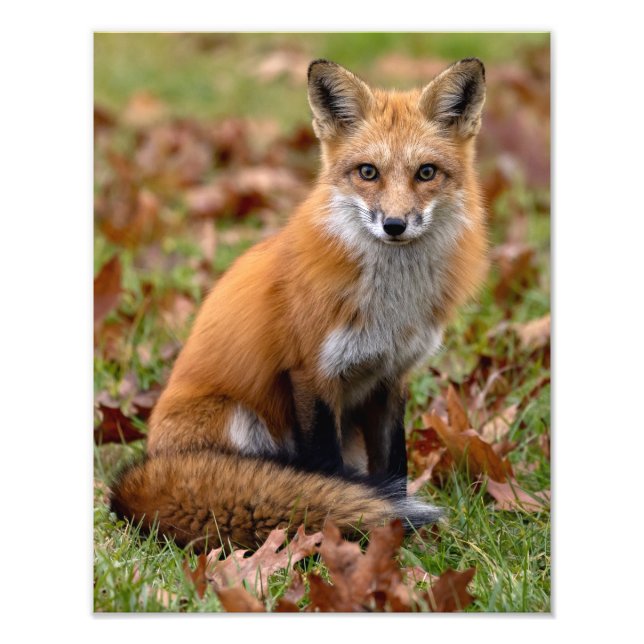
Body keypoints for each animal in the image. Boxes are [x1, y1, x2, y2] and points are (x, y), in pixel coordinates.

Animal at [110, 57, 488, 550]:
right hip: (239, 419)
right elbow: (326, 471)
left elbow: (395, 469)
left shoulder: (391, 377)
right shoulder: (311, 373)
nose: (394, 224)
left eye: (426, 172)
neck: (390, 308)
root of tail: (152, 461)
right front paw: (339, 526)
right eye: (368, 172)